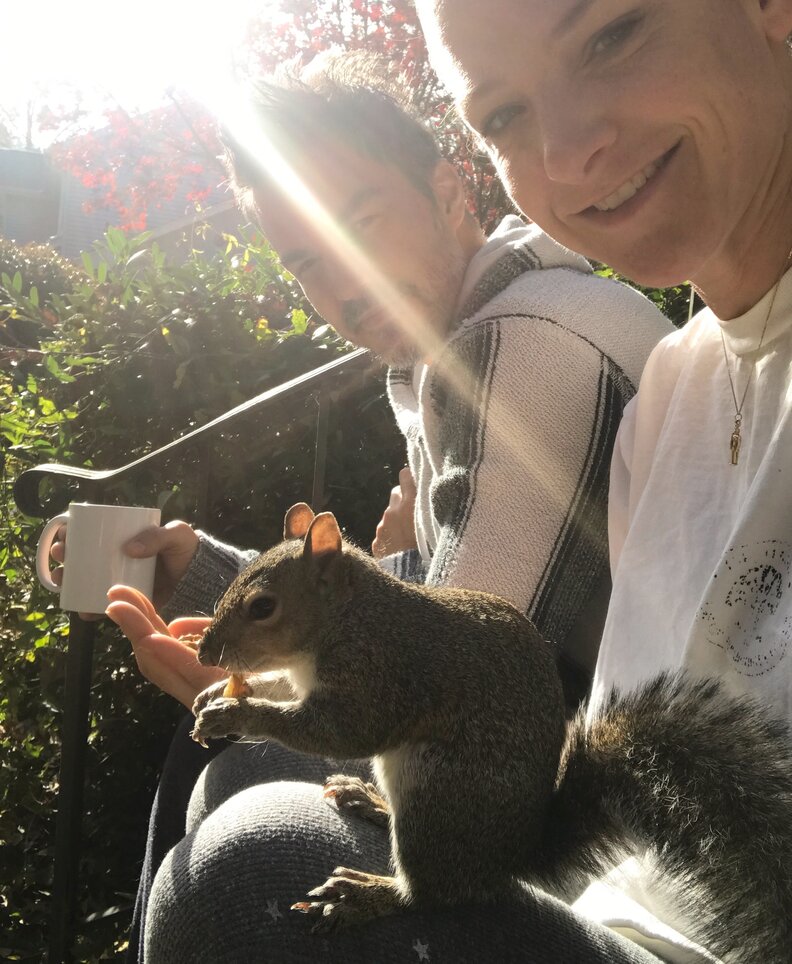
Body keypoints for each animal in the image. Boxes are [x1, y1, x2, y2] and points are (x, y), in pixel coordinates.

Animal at [191, 503, 792, 963]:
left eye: (263, 606)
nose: (205, 655)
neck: (347, 617)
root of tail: (514, 854)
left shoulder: (381, 673)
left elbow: (342, 732)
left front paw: (237, 715)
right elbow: (286, 692)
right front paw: (214, 694)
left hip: (442, 797)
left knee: (434, 894)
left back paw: (368, 895)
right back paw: (372, 803)